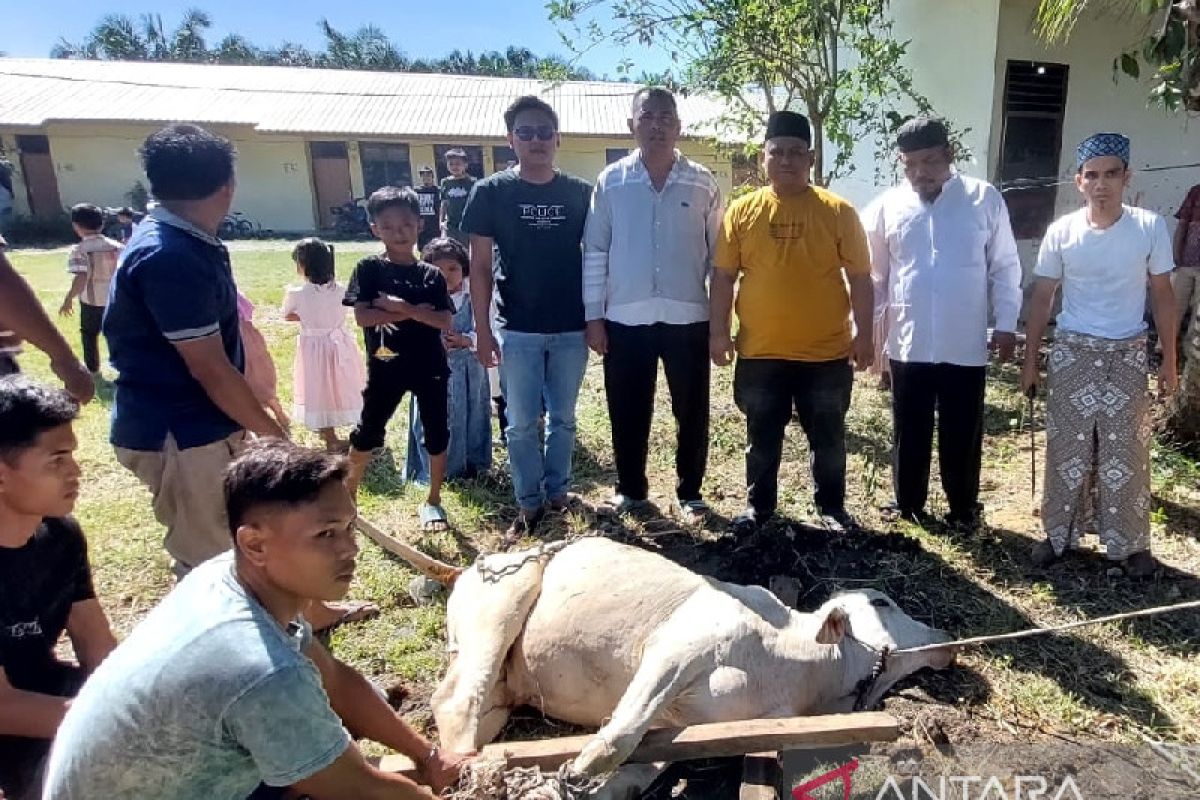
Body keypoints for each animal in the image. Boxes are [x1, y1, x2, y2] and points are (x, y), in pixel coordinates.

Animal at [427, 537, 950, 796]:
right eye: (881, 602)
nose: (947, 641)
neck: (795, 671)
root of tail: (474, 565)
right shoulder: (676, 647)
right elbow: (618, 736)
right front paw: (574, 770)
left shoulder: (679, 727)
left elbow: (636, 770)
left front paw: (571, 787)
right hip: (502, 604)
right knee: (456, 702)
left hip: (504, 687)